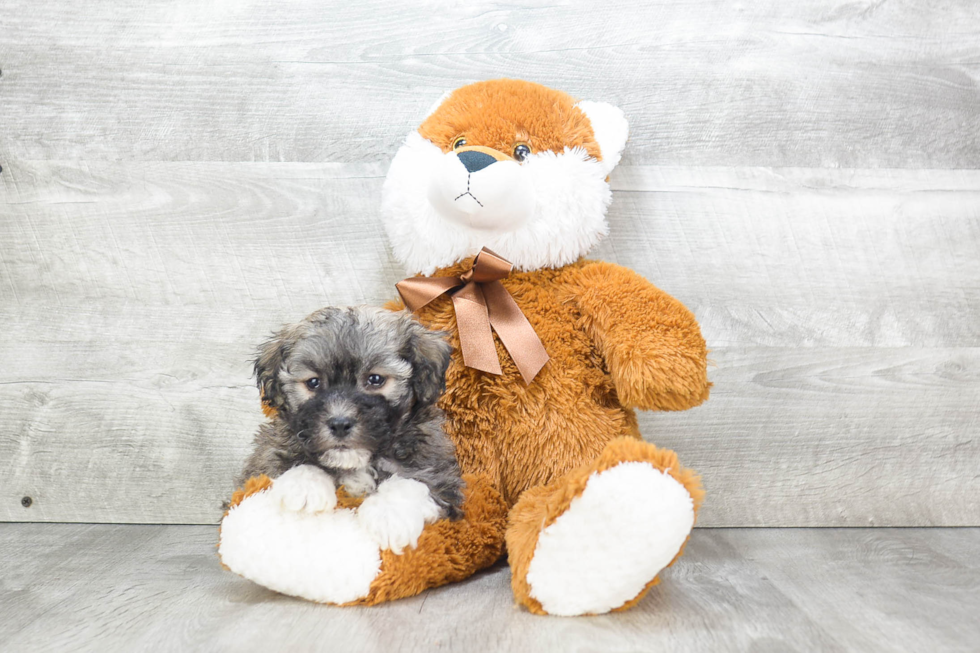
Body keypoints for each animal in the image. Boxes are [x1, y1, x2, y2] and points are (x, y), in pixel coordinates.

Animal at [239, 306, 466, 552]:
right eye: (313, 383)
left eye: (375, 379)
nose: (340, 424)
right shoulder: (266, 458)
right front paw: (304, 486)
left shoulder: (437, 472)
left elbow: (413, 482)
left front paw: (390, 515)